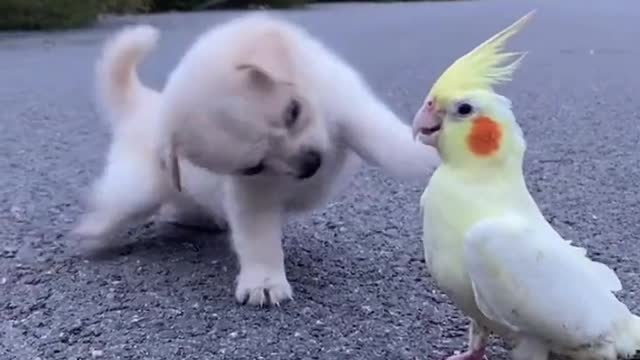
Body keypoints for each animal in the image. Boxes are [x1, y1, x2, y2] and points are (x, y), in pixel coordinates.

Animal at [72, 14, 438, 306]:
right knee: (117, 205)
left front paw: (432, 153)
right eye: (254, 166)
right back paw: (92, 233)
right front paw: (264, 281)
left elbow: (389, 141)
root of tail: (142, 103)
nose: (311, 165)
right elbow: (258, 238)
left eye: (293, 111)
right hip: (138, 189)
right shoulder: (251, 194)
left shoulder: (352, 108)